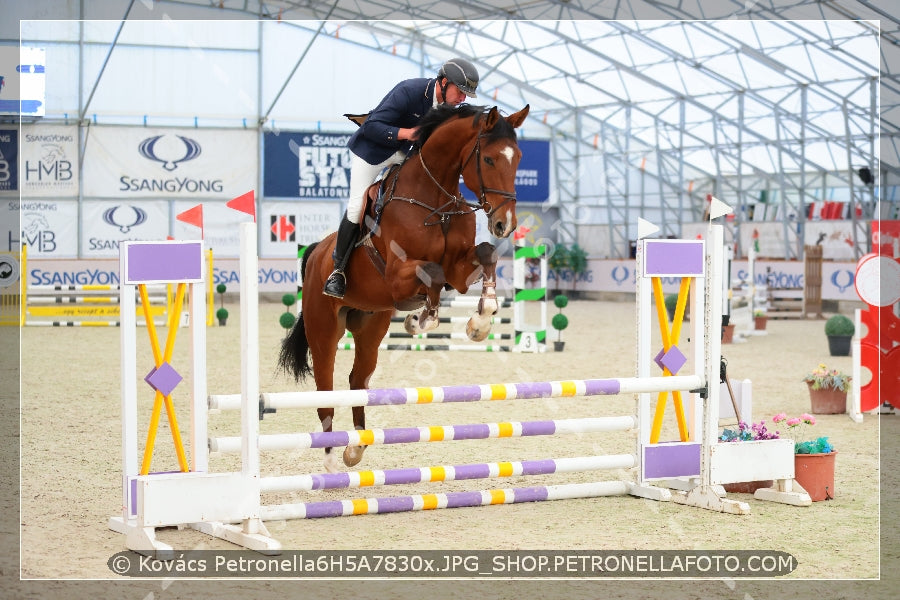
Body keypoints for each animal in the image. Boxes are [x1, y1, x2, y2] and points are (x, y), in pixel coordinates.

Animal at [274, 105, 528, 476]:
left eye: (518, 158)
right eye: (490, 159)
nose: (504, 224)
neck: (435, 199)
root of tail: (316, 252)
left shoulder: (459, 270)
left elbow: (484, 254)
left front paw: (480, 322)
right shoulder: (397, 276)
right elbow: (433, 274)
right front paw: (421, 320)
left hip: (370, 327)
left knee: (357, 380)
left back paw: (356, 449)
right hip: (324, 330)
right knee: (326, 390)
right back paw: (332, 461)